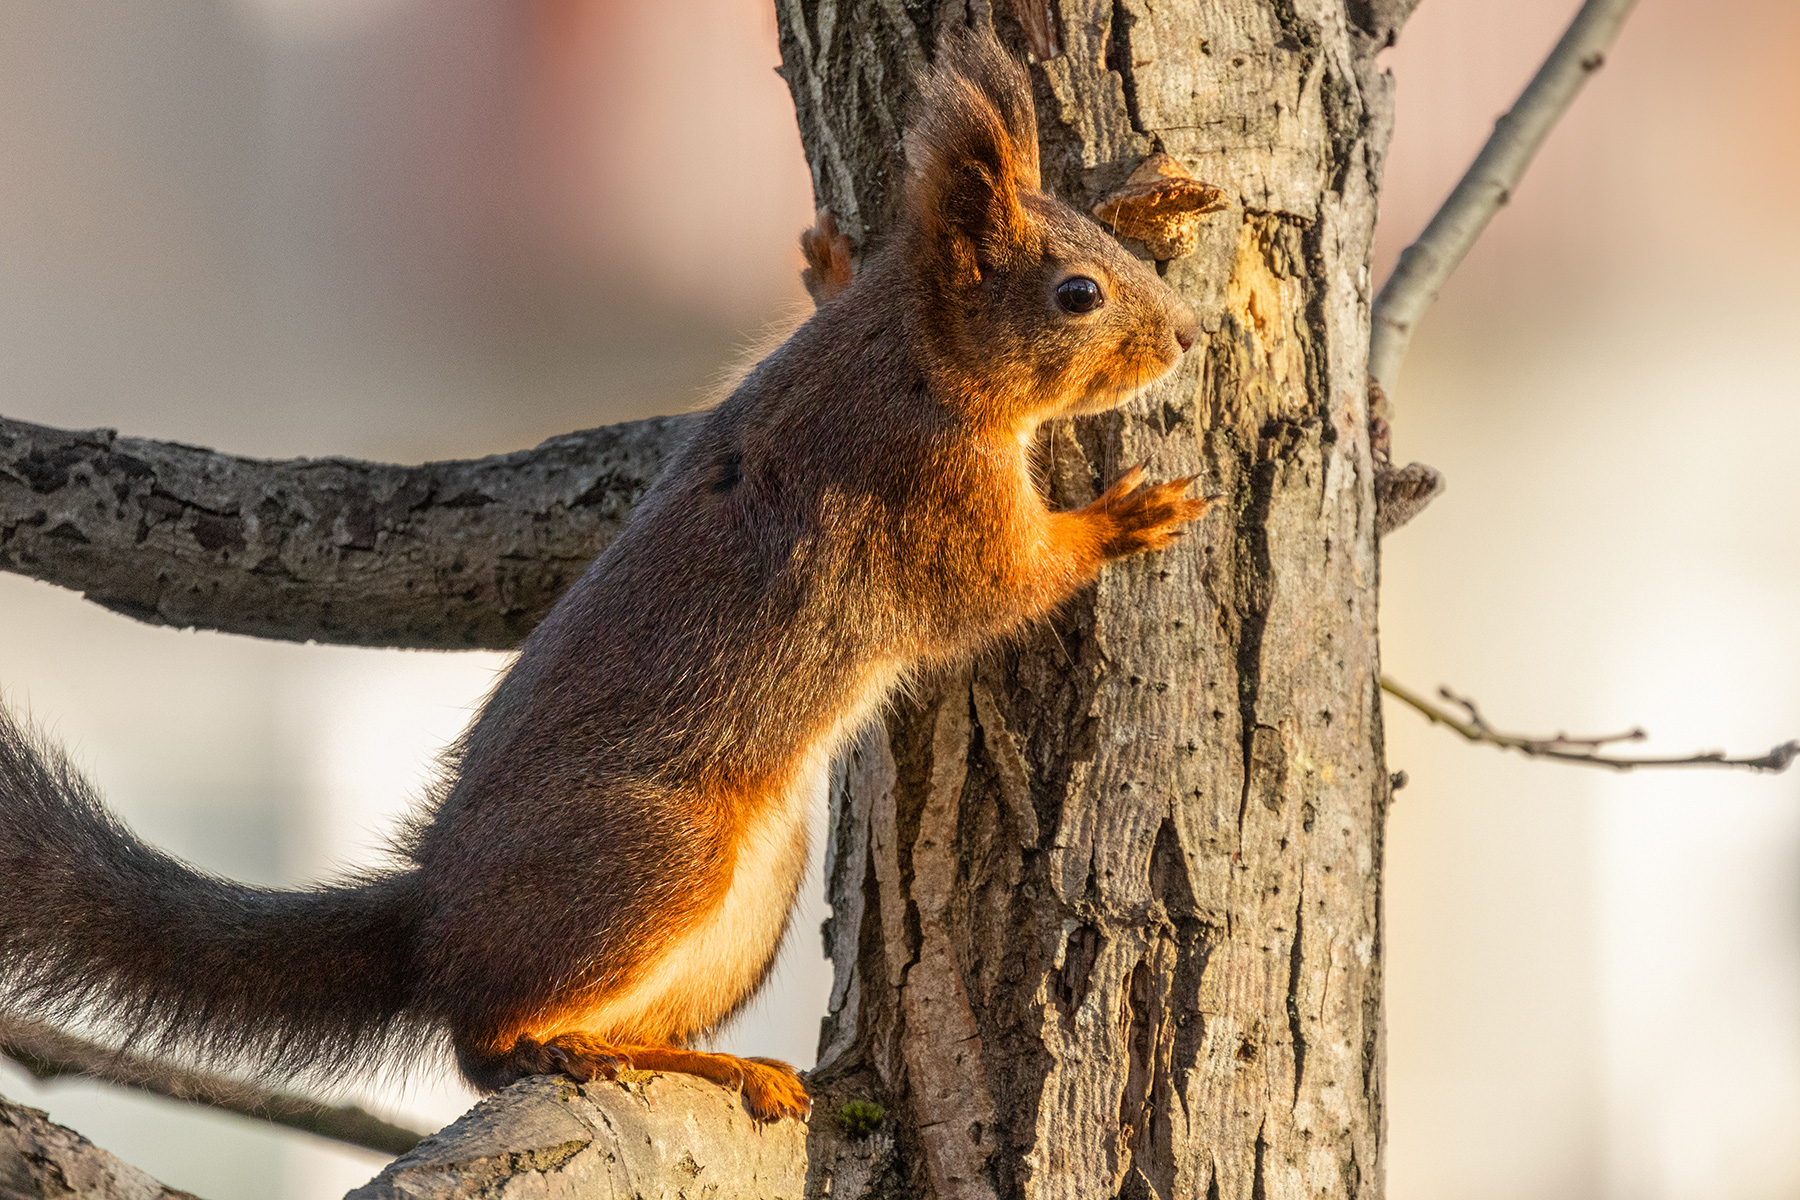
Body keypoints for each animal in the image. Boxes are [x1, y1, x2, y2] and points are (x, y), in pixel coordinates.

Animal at [3, 30, 1209, 1129]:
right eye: (1078, 292)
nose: (1189, 337)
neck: (909, 350)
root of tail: (432, 915)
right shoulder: (921, 489)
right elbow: (1003, 584)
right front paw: (1126, 517)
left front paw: (826, 265)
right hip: (652, 856)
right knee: (484, 1042)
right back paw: (567, 1050)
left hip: (749, 898)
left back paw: (708, 1063)